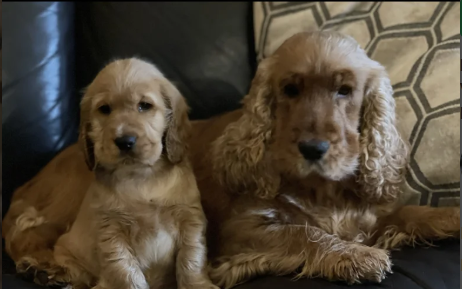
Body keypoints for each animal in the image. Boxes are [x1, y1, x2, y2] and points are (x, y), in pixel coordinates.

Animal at [14, 57, 217, 286]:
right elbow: (125, 271)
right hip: (67, 247)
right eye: (105, 109)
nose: (124, 141)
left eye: (144, 106)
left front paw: (199, 285)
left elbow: (191, 260)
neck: (141, 179)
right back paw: (45, 271)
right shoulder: (111, 231)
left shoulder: (189, 218)